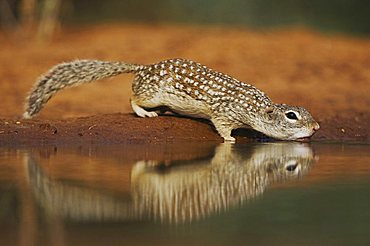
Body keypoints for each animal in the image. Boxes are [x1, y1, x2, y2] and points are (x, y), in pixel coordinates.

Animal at [23, 58, 320, 142]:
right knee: (132, 97)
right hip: (150, 94)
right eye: (291, 116)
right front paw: (230, 140)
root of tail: (143, 67)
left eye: (306, 110)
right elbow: (222, 127)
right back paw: (145, 113)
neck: (255, 107)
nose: (316, 127)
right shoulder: (224, 113)